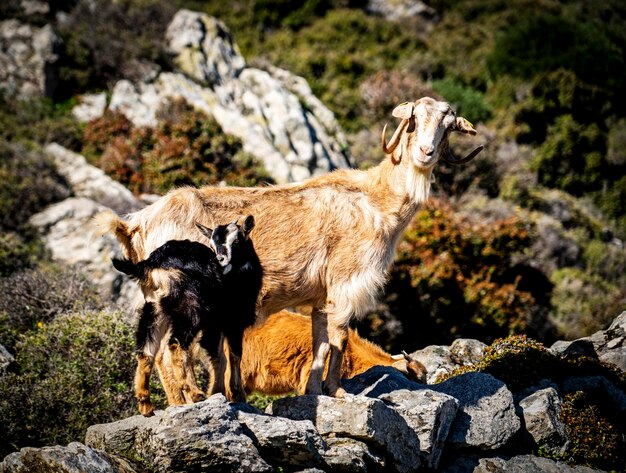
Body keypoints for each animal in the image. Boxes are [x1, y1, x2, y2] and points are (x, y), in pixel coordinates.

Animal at [97, 97, 480, 398]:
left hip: (157, 298)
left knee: (153, 349)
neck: (376, 199)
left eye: (447, 124)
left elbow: (320, 343)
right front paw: (337, 391)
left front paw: (313, 391)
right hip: (185, 298)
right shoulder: (346, 283)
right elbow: (340, 338)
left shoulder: (320, 298)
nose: (426, 152)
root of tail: (135, 224)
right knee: (169, 351)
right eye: (414, 119)